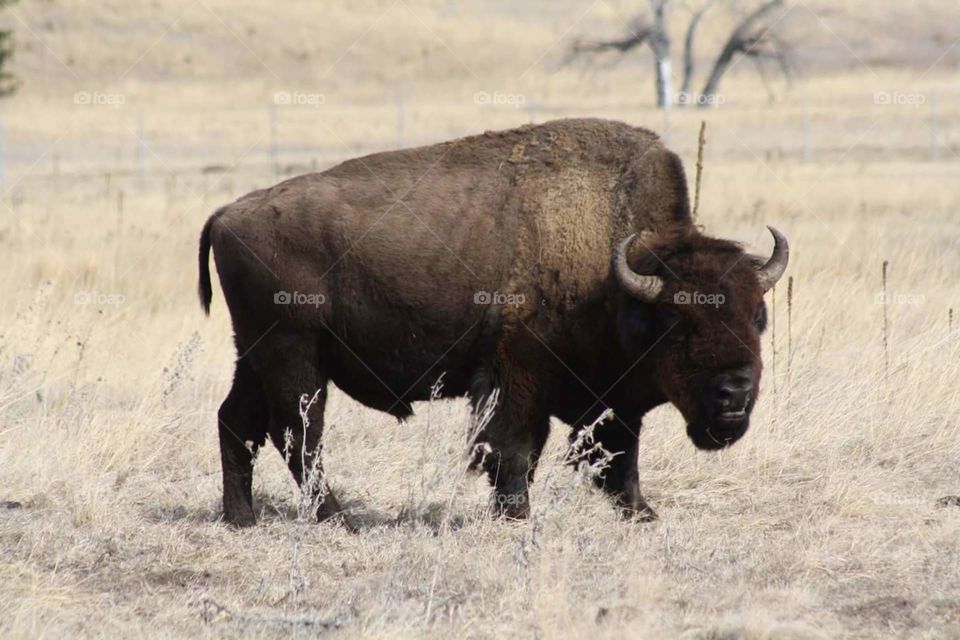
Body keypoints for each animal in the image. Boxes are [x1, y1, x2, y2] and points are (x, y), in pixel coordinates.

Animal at [198, 118, 788, 527]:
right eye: (676, 322)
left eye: (757, 316)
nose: (735, 393)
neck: (613, 270)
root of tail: (228, 214)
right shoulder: (516, 376)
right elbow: (515, 450)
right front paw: (516, 515)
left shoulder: (610, 396)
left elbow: (620, 455)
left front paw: (642, 514)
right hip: (295, 355)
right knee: (298, 434)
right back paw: (339, 519)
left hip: (255, 355)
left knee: (237, 422)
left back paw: (241, 519)